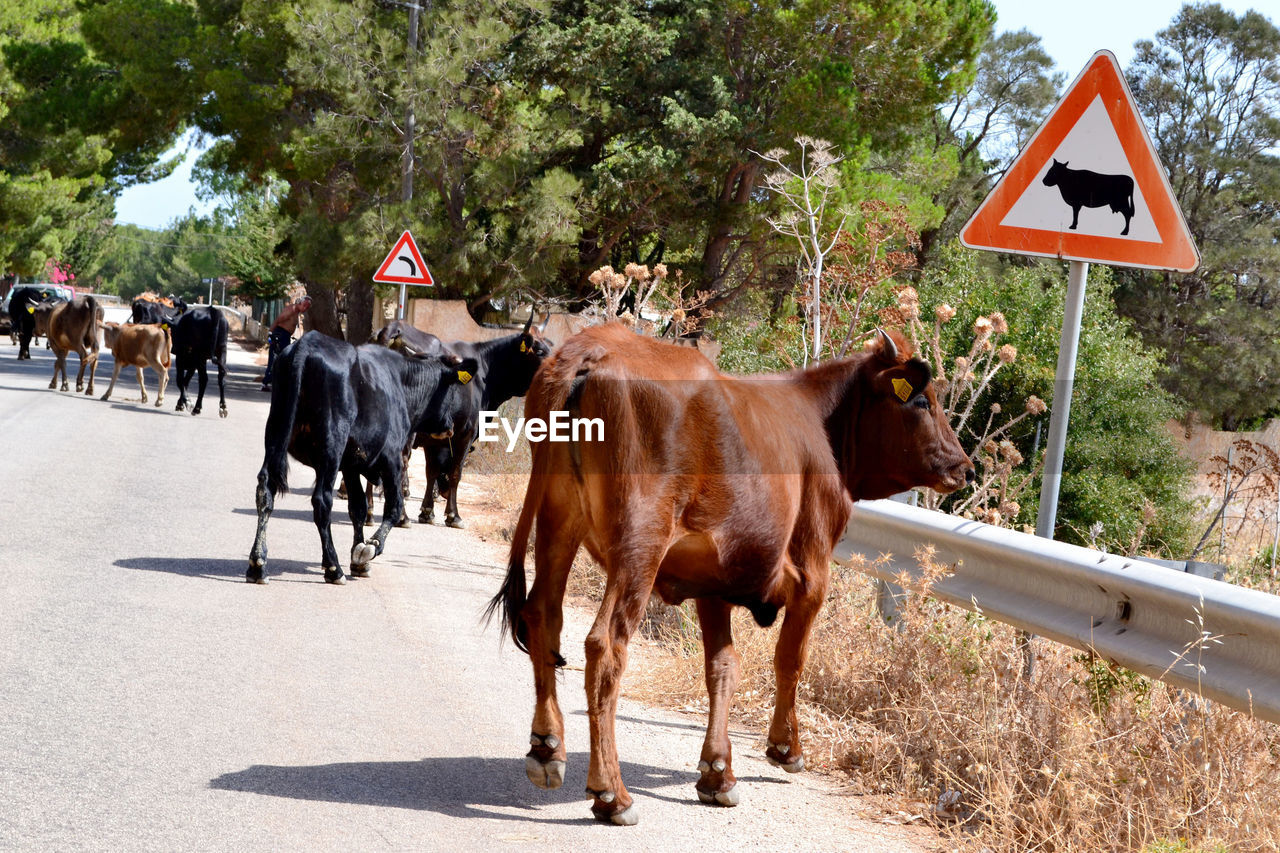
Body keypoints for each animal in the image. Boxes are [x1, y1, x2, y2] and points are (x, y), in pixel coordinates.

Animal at [247, 327, 478, 581]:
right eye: (454, 390)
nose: (451, 426)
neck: (401, 382)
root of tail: (306, 344)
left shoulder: (351, 466)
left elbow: (357, 508)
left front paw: (358, 559)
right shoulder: (392, 460)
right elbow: (393, 507)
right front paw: (371, 546)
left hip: (275, 434)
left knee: (266, 491)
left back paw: (258, 563)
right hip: (331, 445)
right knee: (322, 501)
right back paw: (333, 567)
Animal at [486, 322, 967, 819]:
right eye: (922, 401)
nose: (963, 465)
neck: (821, 422)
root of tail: (594, 348)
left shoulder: (712, 580)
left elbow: (723, 667)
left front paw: (718, 771)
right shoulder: (813, 574)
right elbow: (790, 659)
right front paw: (785, 747)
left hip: (559, 519)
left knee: (542, 615)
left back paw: (547, 748)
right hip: (639, 542)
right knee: (605, 645)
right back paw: (611, 793)